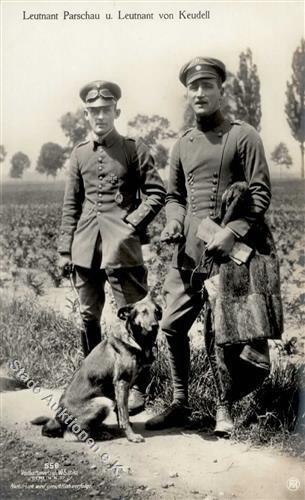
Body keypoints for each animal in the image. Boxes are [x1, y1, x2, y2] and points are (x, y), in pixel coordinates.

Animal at [31, 294, 162, 444]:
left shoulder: (120, 388)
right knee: (72, 434)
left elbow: (120, 413)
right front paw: (131, 436)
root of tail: (58, 419)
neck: (134, 339)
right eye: (143, 312)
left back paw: (102, 428)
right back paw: (99, 434)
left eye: (157, 312)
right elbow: (124, 414)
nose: (156, 326)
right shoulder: (121, 382)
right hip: (103, 402)